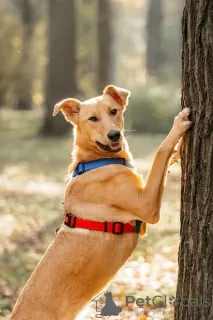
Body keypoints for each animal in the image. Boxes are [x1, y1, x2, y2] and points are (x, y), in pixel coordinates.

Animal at [10, 84, 192, 318]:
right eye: (93, 119)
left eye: (113, 111)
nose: (115, 135)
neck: (95, 161)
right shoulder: (147, 205)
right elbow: (160, 153)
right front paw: (178, 125)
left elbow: (166, 160)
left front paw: (178, 150)